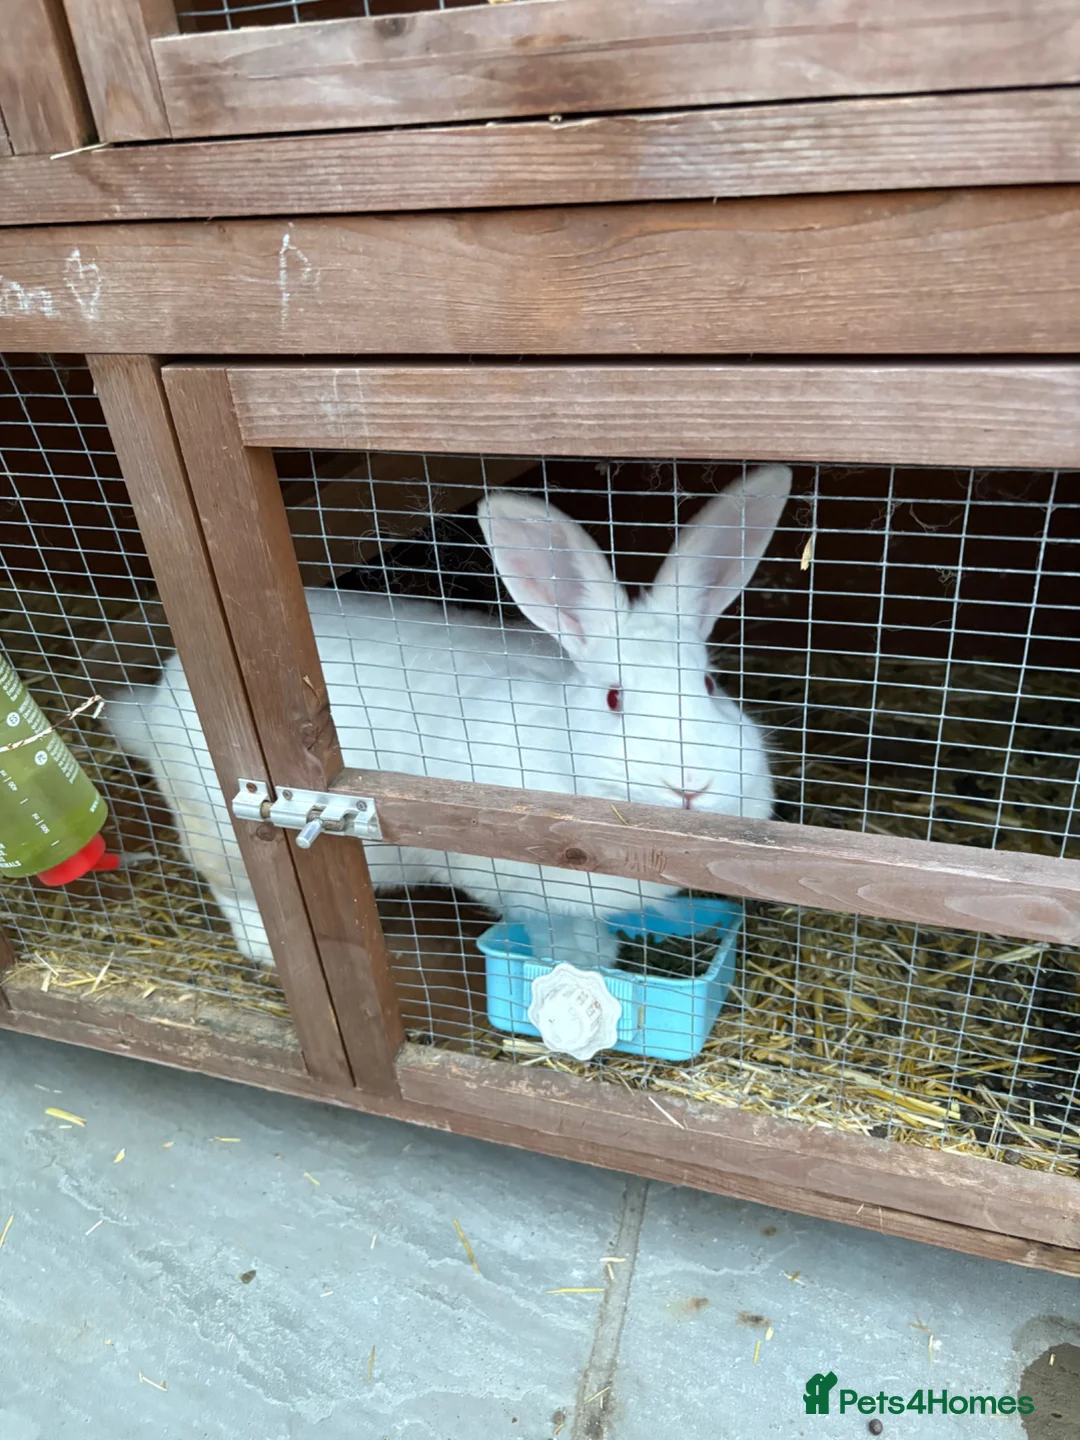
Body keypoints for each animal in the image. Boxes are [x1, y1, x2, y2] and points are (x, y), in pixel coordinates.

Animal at [104, 463, 791, 973]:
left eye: (709, 684)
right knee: (236, 889)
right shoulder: (518, 885)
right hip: (225, 834)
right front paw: (584, 962)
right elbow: (553, 925)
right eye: (614, 699)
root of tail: (155, 706)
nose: (690, 786)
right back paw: (265, 949)